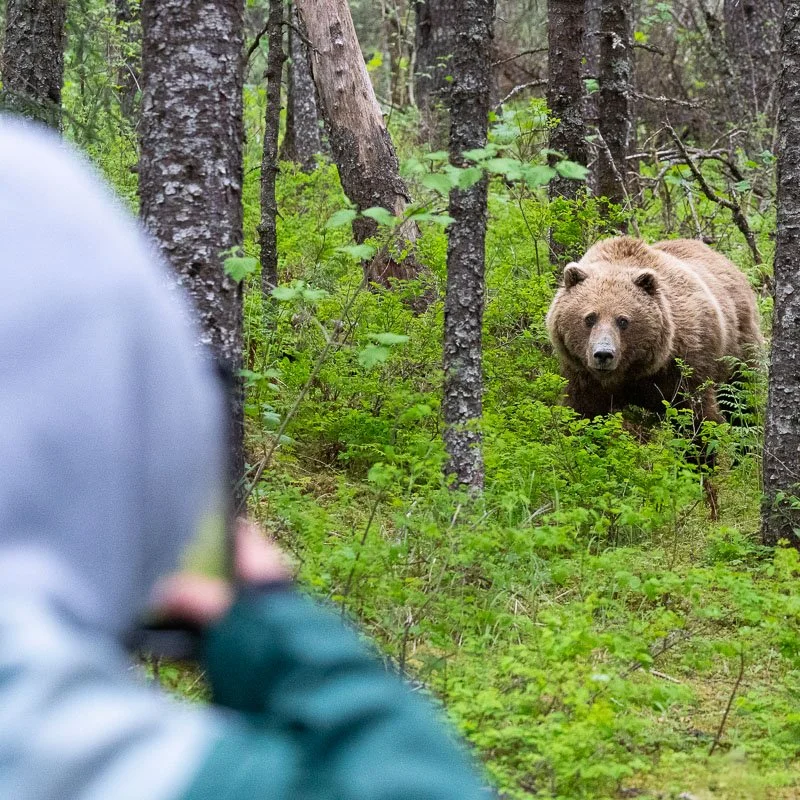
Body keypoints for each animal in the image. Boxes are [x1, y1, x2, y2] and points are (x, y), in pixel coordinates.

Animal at [545, 236, 763, 426]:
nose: (603, 354)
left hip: (739, 347)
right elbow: (583, 412)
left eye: (623, 320)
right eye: (590, 318)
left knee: (743, 396)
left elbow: (698, 416)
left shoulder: (685, 366)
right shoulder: (583, 375)